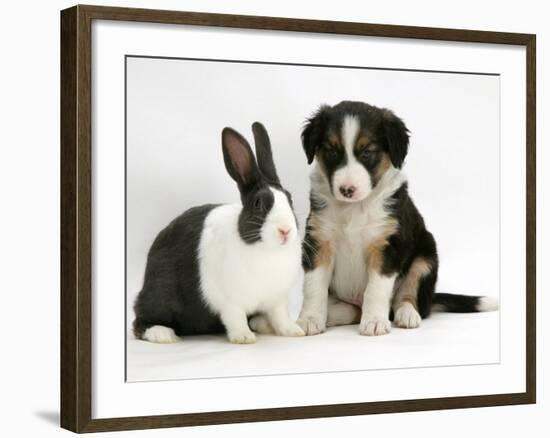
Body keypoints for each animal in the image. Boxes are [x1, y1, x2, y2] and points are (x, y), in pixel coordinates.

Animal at [134, 121, 306, 344]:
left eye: (290, 199)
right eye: (258, 204)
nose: (285, 230)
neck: (267, 250)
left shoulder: (277, 299)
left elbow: (280, 316)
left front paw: (293, 331)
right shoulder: (230, 302)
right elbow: (236, 318)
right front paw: (244, 338)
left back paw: (263, 324)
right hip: (160, 294)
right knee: (140, 320)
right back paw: (162, 334)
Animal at [298, 101, 500, 338]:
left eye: (367, 153)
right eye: (331, 151)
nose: (347, 190)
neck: (354, 208)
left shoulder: (387, 245)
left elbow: (376, 288)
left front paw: (375, 322)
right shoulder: (319, 240)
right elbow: (314, 286)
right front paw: (310, 319)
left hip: (426, 256)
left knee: (406, 299)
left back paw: (407, 314)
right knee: (352, 310)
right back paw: (331, 315)